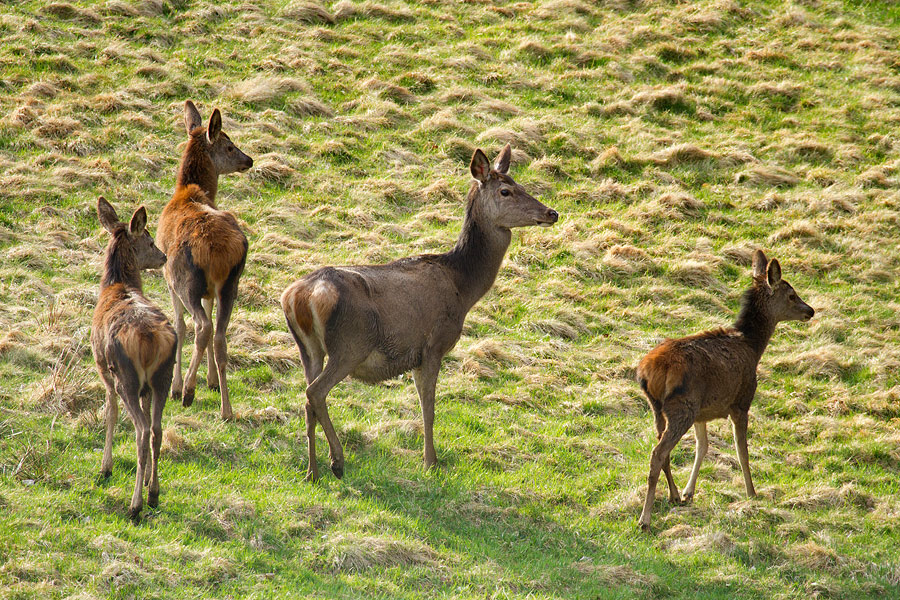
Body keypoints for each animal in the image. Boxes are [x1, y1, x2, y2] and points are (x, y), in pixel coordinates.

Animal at [91, 197, 176, 520]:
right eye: (151, 241)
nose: (163, 256)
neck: (117, 285)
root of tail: (150, 338)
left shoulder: (102, 368)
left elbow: (111, 412)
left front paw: (106, 467)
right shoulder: (147, 389)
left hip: (125, 376)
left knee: (141, 430)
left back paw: (135, 505)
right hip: (163, 378)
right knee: (157, 429)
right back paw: (153, 494)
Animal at [156, 101, 251, 420]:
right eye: (231, 146)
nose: (249, 160)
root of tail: (218, 251)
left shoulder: (167, 279)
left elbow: (179, 325)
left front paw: (177, 386)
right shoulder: (211, 290)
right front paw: (211, 381)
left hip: (185, 280)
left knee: (201, 327)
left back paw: (186, 390)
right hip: (230, 283)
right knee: (219, 334)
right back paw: (226, 409)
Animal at [284, 145, 560, 482]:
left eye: (519, 183)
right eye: (506, 191)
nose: (551, 213)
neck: (462, 287)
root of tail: (298, 296)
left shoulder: (414, 354)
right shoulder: (433, 344)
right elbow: (428, 406)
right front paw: (431, 462)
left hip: (308, 348)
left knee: (307, 398)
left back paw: (312, 470)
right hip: (350, 344)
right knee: (315, 392)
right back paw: (337, 461)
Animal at [632, 251, 816, 532]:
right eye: (792, 294)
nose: (811, 311)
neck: (753, 347)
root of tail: (647, 372)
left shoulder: (703, 412)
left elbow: (703, 446)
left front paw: (688, 492)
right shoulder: (741, 402)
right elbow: (742, 452)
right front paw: (752, 493)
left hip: (659, 408)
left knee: (663, 450)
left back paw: (673, 495)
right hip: (682, 407)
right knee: (657, 453)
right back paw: (645, 519)